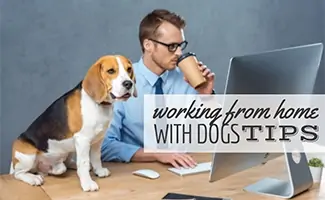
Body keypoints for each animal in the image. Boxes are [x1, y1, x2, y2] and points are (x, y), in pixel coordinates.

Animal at [8, 54, 135, 191]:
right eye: (111, 71)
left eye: (129, 69)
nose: (128, 83)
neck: (99, 105)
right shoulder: (83, 139)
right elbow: (83, 162)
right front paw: (87, 183)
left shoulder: (98, 140)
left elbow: (96, 157)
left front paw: (99, 171)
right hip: (27, 155)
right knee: (19, 173)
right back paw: (33, 178)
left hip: (67, 151)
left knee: (63, 165)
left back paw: (60, 167)